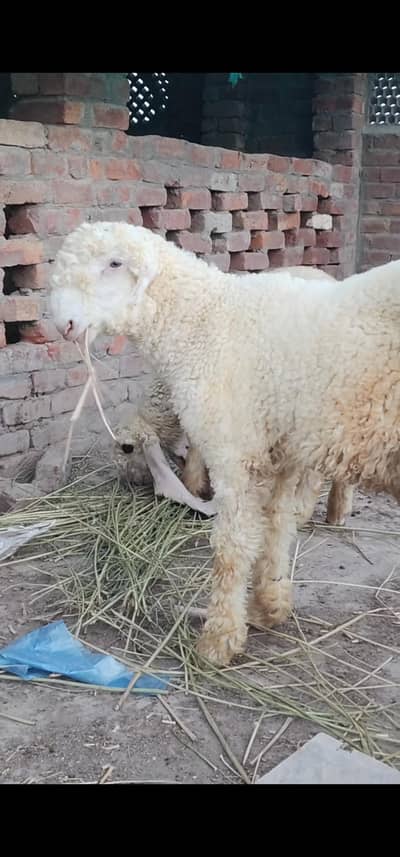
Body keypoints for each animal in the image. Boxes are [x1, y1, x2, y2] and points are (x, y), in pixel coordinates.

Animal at [49, 222, 392, 666]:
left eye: (114, 263)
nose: (65, 323)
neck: (206, 320)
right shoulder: (280, 455)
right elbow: (277, 527)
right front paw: (270, 606)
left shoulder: (235, 452)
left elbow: (231, 548)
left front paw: (219, 640)